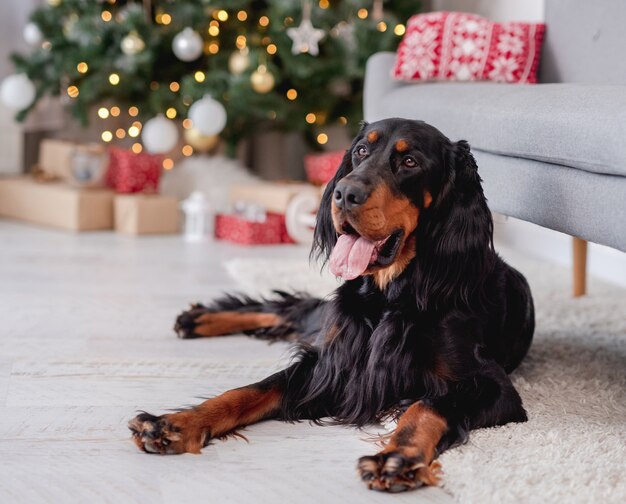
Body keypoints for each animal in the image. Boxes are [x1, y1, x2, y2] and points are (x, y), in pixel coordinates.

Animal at [127, 118, 532, 492]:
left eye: (410, 161)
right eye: (361, 151)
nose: (344, 193)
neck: (390, 294)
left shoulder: (492, 385)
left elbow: (429, 405)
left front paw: (397, 457)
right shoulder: (331, 362)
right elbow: (251, 390)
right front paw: (175, 423)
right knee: (291, 309)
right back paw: (199, 318)